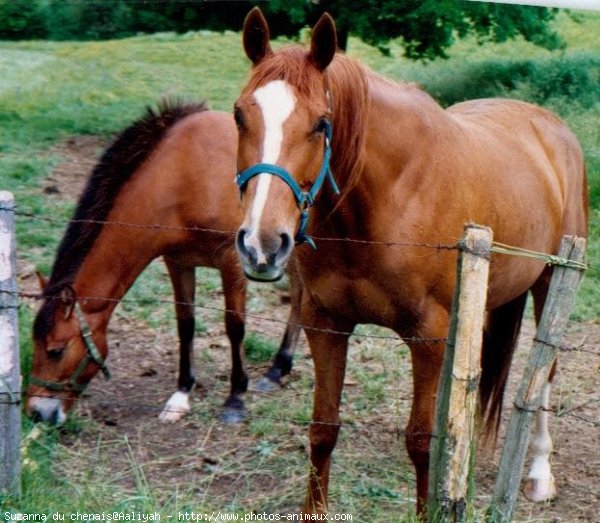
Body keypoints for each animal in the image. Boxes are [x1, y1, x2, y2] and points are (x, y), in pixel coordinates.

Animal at [25, 101, 302, 426]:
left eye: (55, 351)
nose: (37, 413)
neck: (184, 172)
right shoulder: (178, 261)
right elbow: (186, 323)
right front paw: (181, 395)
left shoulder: (233, 263)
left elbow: (235, 326)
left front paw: (235, 399)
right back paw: (277, 369)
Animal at [232, 8, 588, 516]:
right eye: (239, 115)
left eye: (321, 124)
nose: (261, 243)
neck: (385, 200)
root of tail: (551, 128)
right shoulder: (326, 325)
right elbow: (323, 430)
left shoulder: (427, 336)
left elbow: (420, 440)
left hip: (550, 283)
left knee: (545, 377)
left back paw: (539, 472)